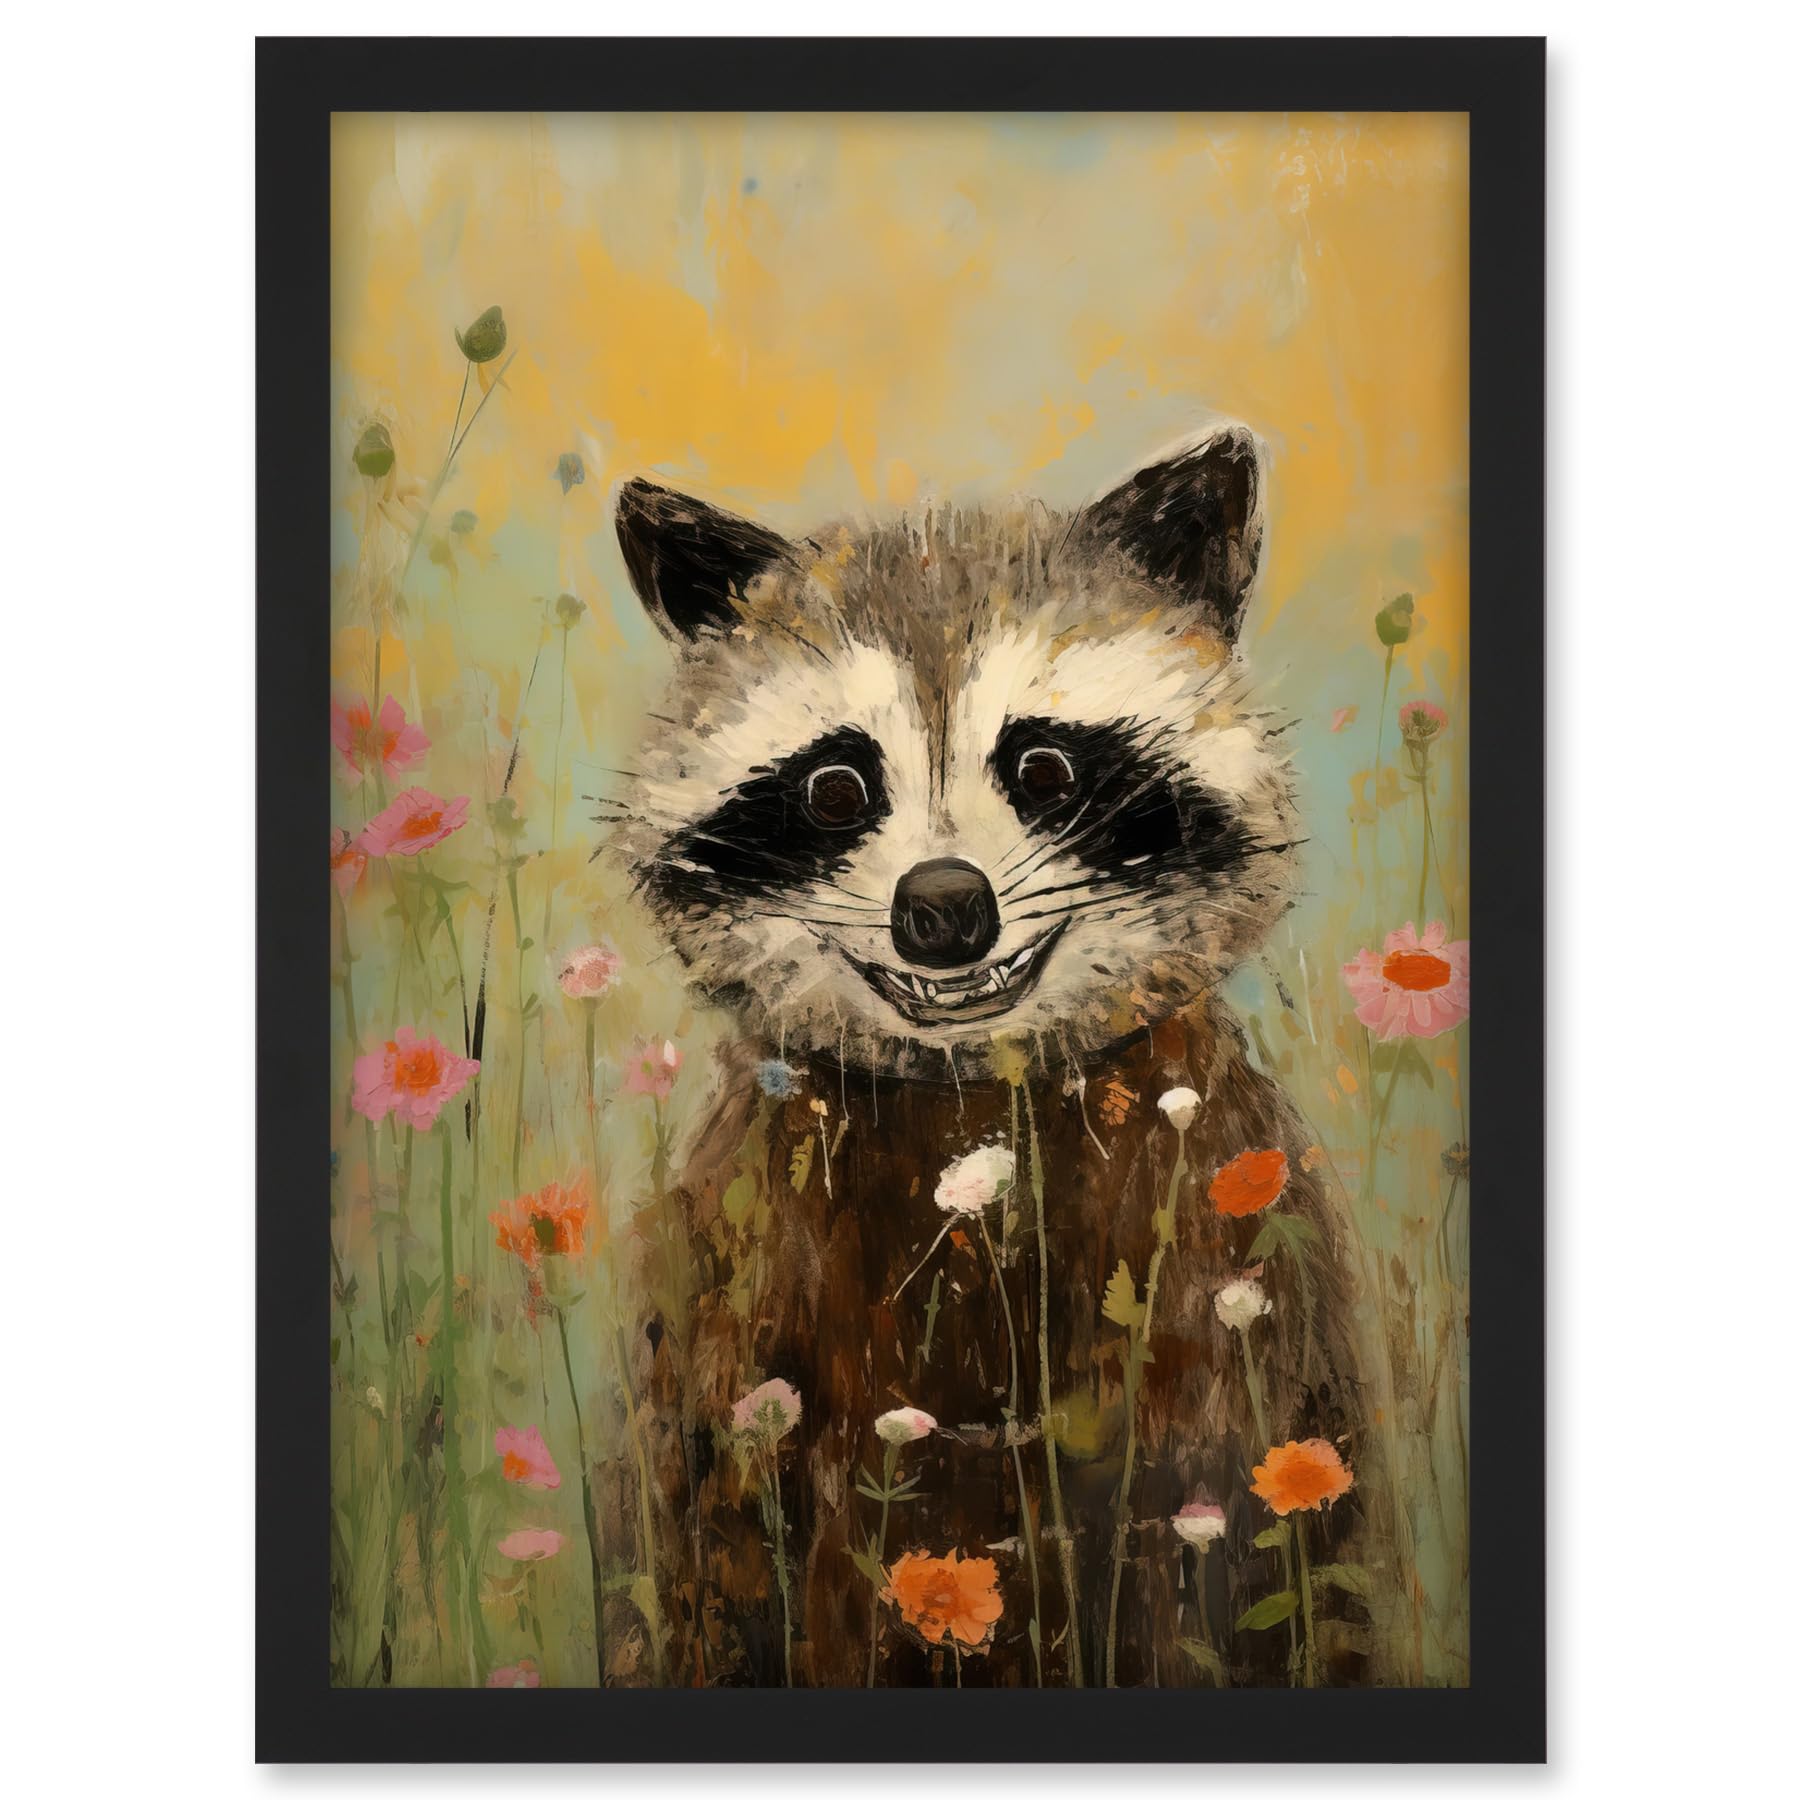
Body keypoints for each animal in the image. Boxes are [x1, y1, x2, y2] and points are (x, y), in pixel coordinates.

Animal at [605, 425, 1371, 1688]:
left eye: (1047, 768)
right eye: (833, 787)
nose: (944, 910)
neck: (971, 1100)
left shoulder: (1234, 1278)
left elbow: (1231, 1556)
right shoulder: (728, 1306)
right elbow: (713, 1563)